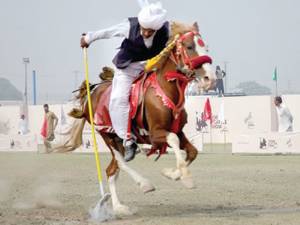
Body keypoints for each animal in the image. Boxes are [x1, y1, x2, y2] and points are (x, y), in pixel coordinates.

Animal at [55, 22, 216, 215]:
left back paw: (118, 207)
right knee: (120, 163)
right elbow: (173, 140)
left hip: (118, 141)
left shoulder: (179, 131)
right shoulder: (155, 133)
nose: (210, 79)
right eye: (190, 46)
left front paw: (172, 174)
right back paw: (144, 185)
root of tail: (90, 94)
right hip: (107, 136)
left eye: (206, 47)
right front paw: (185, 178)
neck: (164, 90)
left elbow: (192, 151)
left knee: (111, 170)